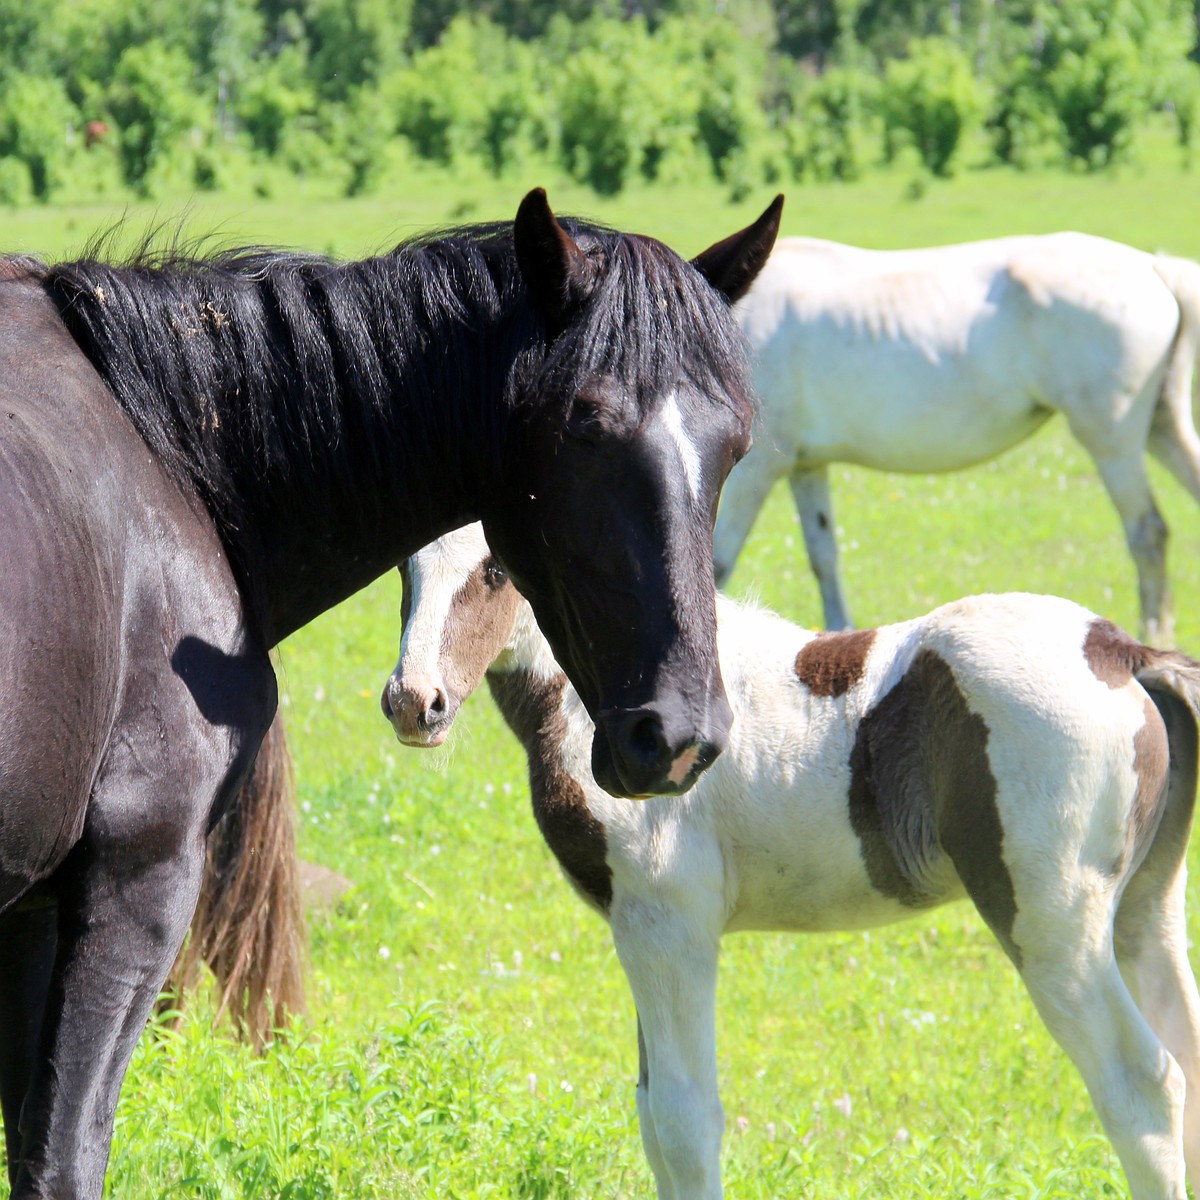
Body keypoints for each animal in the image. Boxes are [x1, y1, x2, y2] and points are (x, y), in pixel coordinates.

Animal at [0, 192, 777, 1195]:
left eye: (737, 445)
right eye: (586, 427)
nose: (675, 734)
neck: (167, 458)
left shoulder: (34, 908)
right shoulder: (135, 879)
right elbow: (63, 1158)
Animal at [381, 525, 1200, 1200]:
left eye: (494, 568)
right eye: (401, 567)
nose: (413, 702)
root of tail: (1123, 654)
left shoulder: (666, 929)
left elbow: (684, 1122)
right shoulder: (639, 932)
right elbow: (651, 1116)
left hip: (1052, 929)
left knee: (1141, 1084)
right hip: (1144, 909)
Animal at [715, 236, 1200, 648]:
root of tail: (1152, 265)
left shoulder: (758, 468)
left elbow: (718, 559)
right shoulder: (805, 466)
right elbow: (823, 553)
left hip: (1111, 441)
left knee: (1148, 532)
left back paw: (1152, 631)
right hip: (1161, 425)